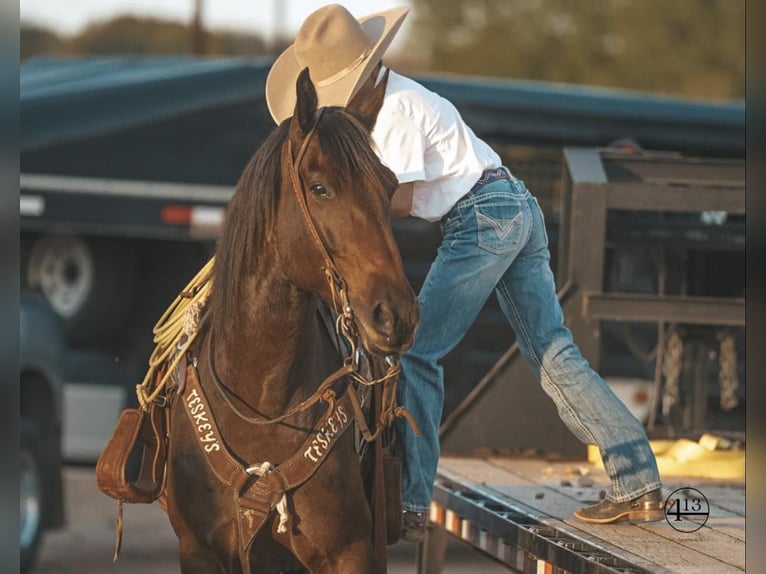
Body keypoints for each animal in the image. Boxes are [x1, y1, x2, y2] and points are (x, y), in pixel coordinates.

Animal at [164, 68, 420, 574]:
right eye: (320, 187)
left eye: (388, 187)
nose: (396, 314)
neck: (261, 404)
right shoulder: (198, 551)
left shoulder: (352, 551)